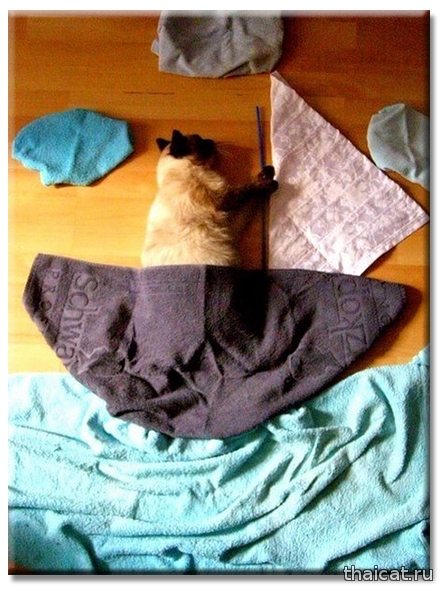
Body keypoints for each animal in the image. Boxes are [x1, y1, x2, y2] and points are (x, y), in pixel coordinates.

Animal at [141, 129, 278, 267]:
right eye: (200, 141)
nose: (211, 140)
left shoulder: (231, 224)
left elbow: (251, 199)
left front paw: (267, 172)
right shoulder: (224, 199)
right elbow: (249, 189)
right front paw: (270, 183)